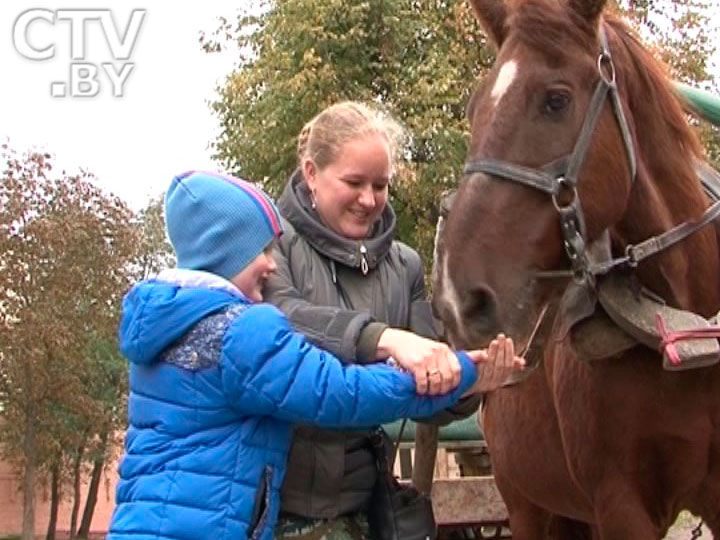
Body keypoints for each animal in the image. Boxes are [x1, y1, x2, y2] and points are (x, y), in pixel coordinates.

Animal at [434, 0, 720, 536]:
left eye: (555, 100)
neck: (686, 328)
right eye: (475, 109)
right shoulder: (619, 503)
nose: (456, 299)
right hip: (526, 506)